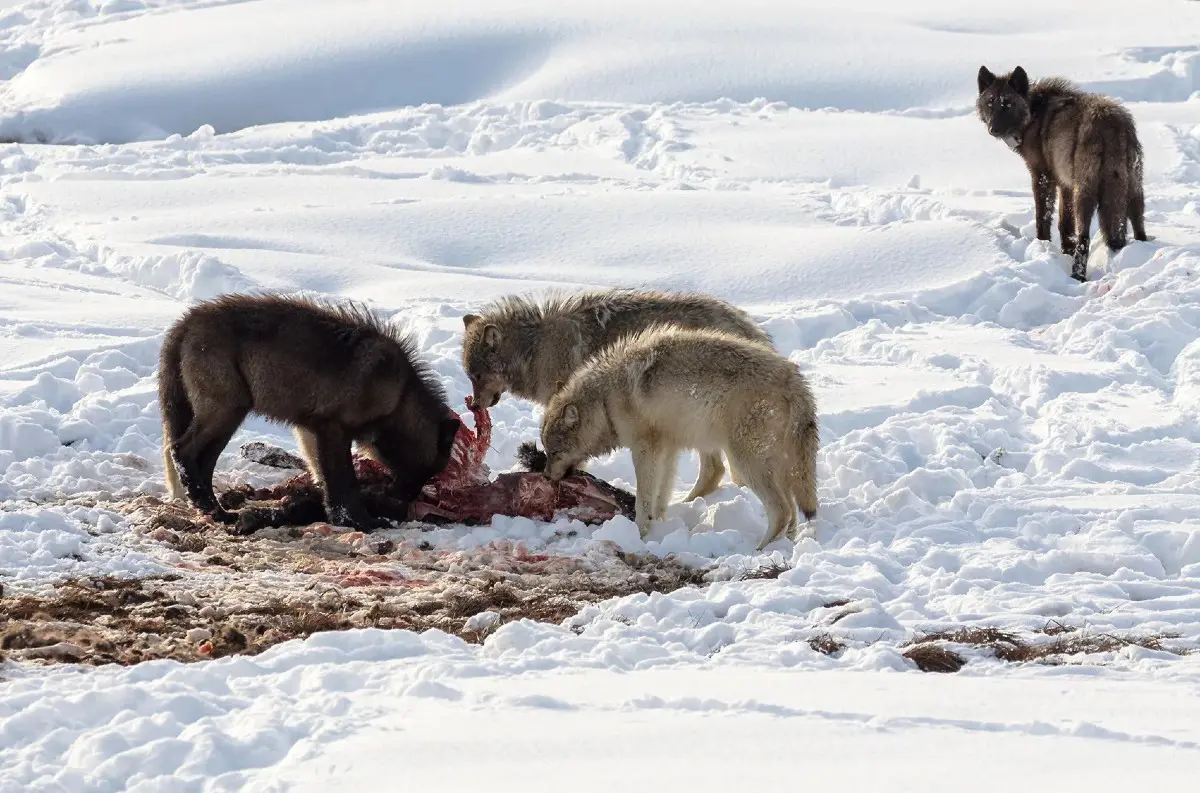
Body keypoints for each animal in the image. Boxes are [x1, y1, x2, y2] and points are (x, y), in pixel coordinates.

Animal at [159, 293, 458, 527]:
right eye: (431, 471)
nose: (405, 503)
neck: (399, 396)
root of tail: (186, 321)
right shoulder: (334, 431)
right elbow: (344, 483)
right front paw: (359, 522)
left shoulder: (311, 431)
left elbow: (324, 479)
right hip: (228, 412)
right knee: (181, 450)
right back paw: (209, 507)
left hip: (227, 420)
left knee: (202, 463)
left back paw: (216, 511)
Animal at [540, 323, 820, 547]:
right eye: (546, 451)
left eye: (554, 452)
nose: (545, 476)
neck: (606, 399)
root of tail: (795, 381)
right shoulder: (668, 449)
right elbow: (660, 496)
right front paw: (659, 525)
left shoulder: (645, 450)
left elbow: (643, 499)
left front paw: (641, 534)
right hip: (775, 466)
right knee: (792, 511)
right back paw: (786, 545)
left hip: (745, 462)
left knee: (781, 510)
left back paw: (760, 550)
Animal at [979, 65, 1147, 281]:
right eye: (990, 102)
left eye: (1007, 104)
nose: (993, 129)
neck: (1034, 114)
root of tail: (1111, 123)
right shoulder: (1065, 184)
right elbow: (1065, 224)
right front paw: (1066, 250)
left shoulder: (1043, 178)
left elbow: (1043, 217)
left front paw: (1042, 245)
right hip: (1133, 189)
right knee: (1138, 224)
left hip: (1085, 194)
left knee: (1085, 237)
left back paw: (1078, 275)